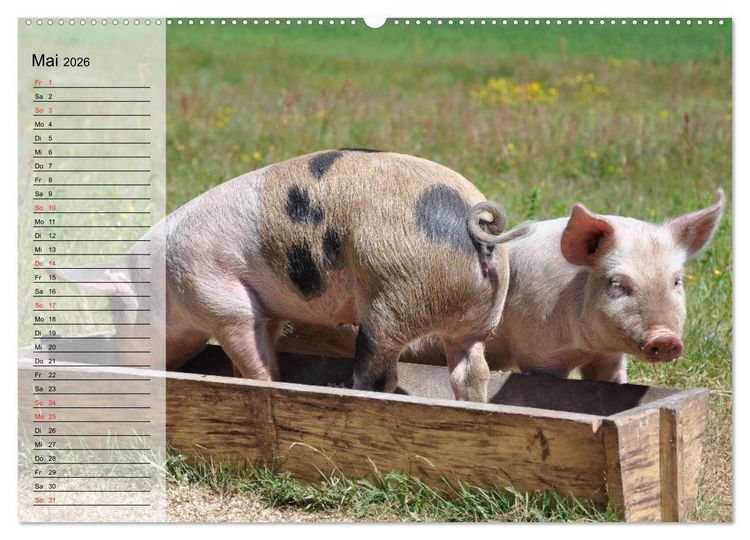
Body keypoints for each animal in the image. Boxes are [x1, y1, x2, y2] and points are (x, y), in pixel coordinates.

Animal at [54, 149, 529, 401]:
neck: (163, 284)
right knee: (472, 371)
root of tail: (477, 226)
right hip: (477, 322)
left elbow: (250, 354)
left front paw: (267, 385)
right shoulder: (269, 308)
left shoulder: (220, 298)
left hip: (392, 298)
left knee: (379, 373)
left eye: (117, 310)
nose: (126, 364)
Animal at [476, 189, 726, 383]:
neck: (585, 348)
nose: (664, 337)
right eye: (617, 284)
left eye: (676, 281)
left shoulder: (608, 358)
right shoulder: (537, 353)